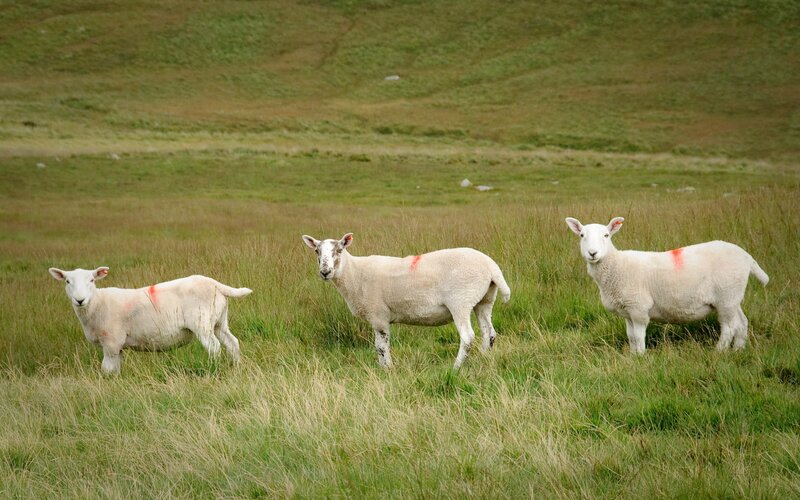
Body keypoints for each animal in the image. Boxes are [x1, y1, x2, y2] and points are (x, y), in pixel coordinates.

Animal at [48, 267, 252, 374]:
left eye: (91, 280)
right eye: (67, 281)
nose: (79, 300)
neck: (97, 303)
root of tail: (214, 283)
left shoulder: (112, 342)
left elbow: (107, 368)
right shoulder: (117, 346)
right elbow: (115, 368)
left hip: (202, 322)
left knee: (214, 347)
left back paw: (213, 369)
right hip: (219, 321)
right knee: (232, 343)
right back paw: (236, 367)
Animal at [301, 233, 511, 369]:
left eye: (339, 250)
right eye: (317, 251)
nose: (325, 272)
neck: (354, 273)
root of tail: (491, 267)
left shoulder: (378, 315)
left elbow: (381, 346)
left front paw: (387, 369)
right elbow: (380, 346)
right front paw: (384, 368)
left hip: (461, 301)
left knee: (468, 337)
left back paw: (456, 367)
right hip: (484, 300)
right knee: (489, 333)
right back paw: (483, 359)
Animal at [564, 217, 769, 353]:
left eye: (606, 235)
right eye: (582, 235)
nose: (592, 253)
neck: (616, 266)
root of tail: (746, 256)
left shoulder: (639, 308)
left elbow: (638, 336)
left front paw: (640, 357)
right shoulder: (628, 311)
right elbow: (631, 336)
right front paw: (632, 356)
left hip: (726, 296)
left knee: (729, 327)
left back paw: (719, 351)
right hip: (733, 296)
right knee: (742, 322)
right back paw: (738, 350)